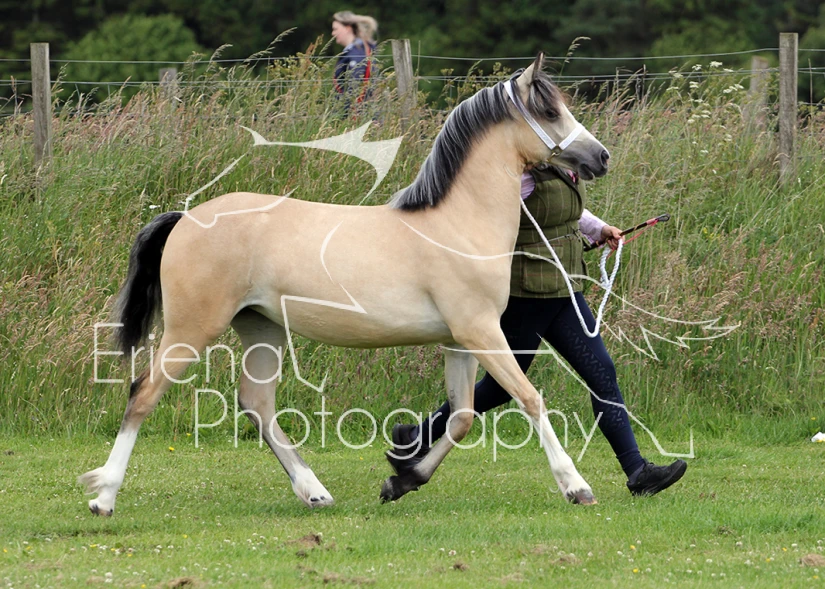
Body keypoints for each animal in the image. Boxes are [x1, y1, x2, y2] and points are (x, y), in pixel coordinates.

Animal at [79, 52, 610, 515]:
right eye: (549, 110)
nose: (600, 157)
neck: (458, 223)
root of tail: (186, 219)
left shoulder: (460, 340)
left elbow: (462, 416)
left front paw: (401, 480)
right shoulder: (481, 331)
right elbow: (529, 398)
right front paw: (576, 486)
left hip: (262, 329)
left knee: (257, 405)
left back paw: (314, 491)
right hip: (192, 330)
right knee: (143, 394)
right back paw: (104, 497)